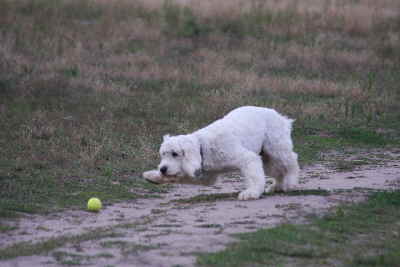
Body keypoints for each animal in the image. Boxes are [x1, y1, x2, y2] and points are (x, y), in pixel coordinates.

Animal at [142, 105, 298, 200]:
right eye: (163, 154)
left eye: (175, 154)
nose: (162, 169)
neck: (203, 146)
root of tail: (281, 117)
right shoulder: (207, 176)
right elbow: (181, 176)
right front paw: (153, 177)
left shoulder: (247, 158)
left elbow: (254, 177)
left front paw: (251, 193)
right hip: (267, 158)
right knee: (278, 171)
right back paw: (276, 186)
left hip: (276, 148)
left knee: (291, 162)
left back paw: (291, 182)